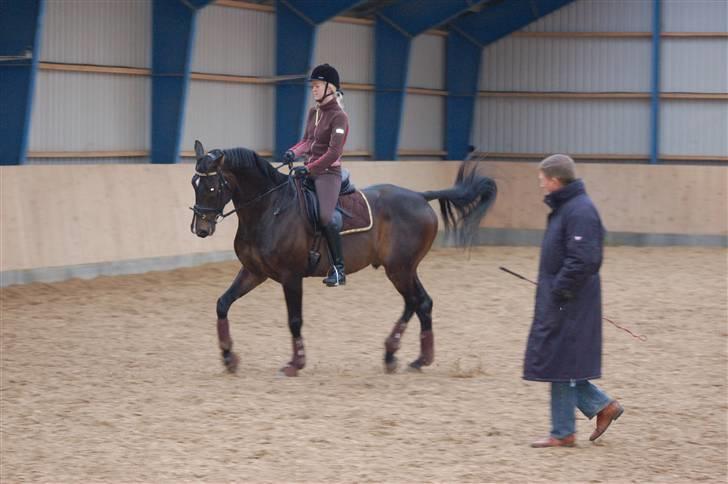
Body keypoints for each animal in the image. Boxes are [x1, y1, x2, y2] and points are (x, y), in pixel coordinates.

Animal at [188, 140, 498, 374]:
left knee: (416, 301)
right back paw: (408, 357)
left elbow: (294, 319)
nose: (200, 229)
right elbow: (222, 303)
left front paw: (295, 363)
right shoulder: (255, 272)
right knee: (420, 302)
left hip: (400, 268)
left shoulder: (291, 276)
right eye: (193, 183)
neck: (269, 208)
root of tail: (421, 196)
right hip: (404, 268)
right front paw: (228, 356)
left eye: (212, 187)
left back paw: (406, 355)